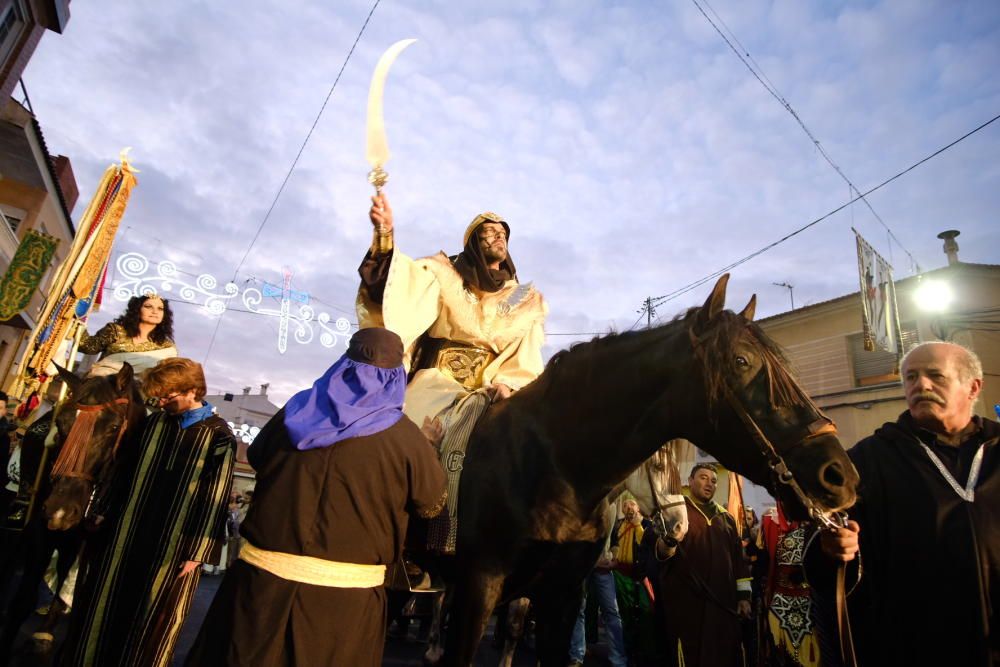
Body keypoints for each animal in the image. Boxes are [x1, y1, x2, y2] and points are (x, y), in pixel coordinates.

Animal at [0, 366, 145, 664]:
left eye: (114, 428)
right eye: (62, 423)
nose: (61, 510)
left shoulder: (98, 550)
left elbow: (83, 610)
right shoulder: (42, 531)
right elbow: (22, 600)